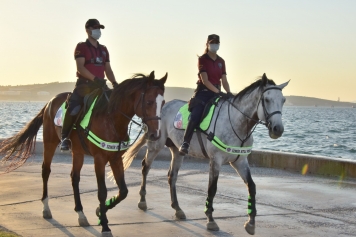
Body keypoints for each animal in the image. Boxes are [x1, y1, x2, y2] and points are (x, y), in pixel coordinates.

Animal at [0, 71, 167, 236]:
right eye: (149, 102)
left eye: (163, 103)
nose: (155, 134)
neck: (112, 119)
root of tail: (50, 102)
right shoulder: (99, 159)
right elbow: (102, 192)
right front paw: (105, 225)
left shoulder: (115, 158)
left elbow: (123, 191)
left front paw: (100, 211)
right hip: (50, 142)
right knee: (46, 171)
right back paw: (46, 208)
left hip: (78, 152)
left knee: (74, 177)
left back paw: (81, 214)